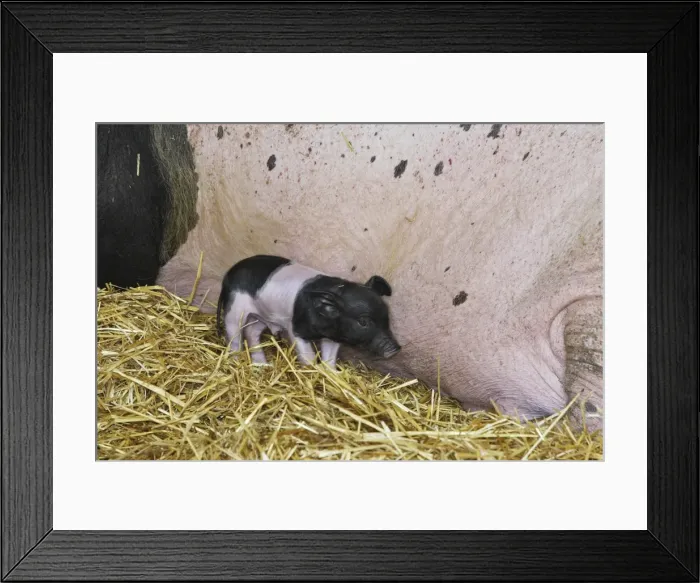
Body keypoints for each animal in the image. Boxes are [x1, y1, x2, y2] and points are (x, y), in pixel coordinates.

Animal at [215, 254, 401, 369]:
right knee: (234, 334)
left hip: (262, 316)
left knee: (251, 332)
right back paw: (235, 359)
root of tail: (228, 275)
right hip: (235, 307)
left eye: (387, 316)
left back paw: (263, 364)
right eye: (363, 321)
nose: (396, 348)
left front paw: (331, 373)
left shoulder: (333, 336)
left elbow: (330, 358)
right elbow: (308, 355)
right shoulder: (296, 329)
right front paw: (311, 368)